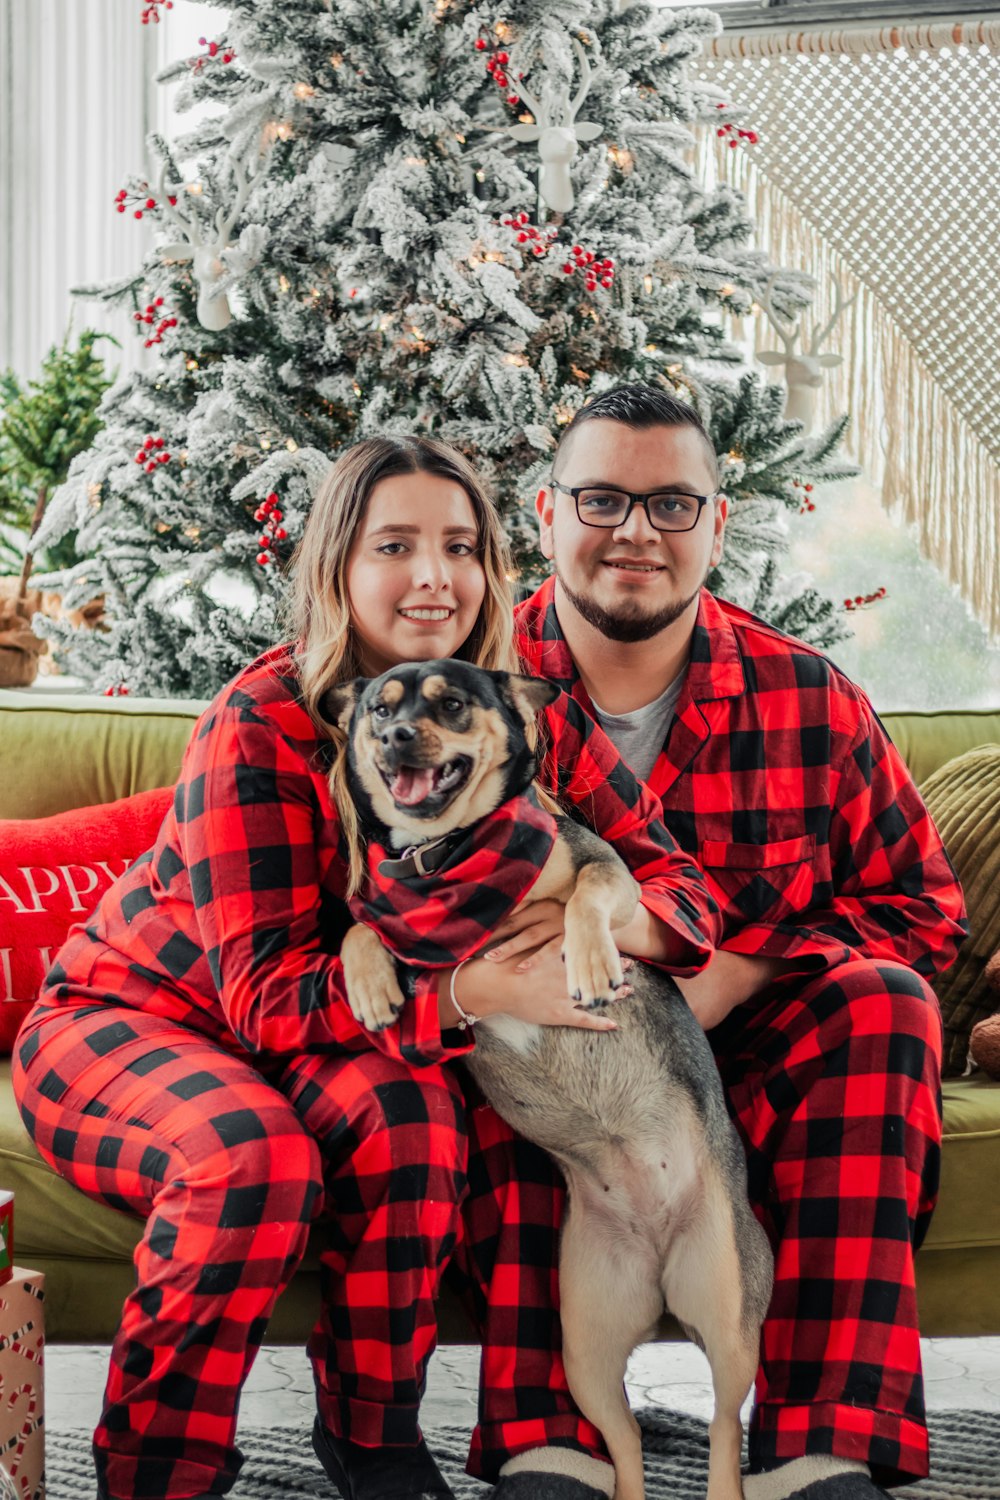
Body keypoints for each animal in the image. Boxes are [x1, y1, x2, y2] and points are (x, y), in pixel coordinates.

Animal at [326, 666, 773, 1500]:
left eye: (450, 703)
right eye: (379, 708)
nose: (395, 736)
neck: (449, 859)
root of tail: (658, 1250)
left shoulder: (607, 867)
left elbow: (589, 897)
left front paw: (591, 964)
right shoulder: (398, 918)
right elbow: (361, 925)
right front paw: (371, 988)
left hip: (728, 1316)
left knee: (728, 1430)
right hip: (585, 1347)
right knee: (626, 1444)